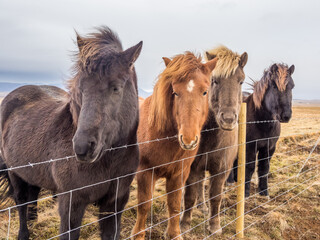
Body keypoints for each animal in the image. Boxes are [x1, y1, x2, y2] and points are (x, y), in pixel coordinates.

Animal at [0, 26, 142, 240]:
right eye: (81, 89)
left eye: (116, 88)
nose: (82, 147)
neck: (110, 160)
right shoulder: (71, 204)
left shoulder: (115, 203)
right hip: (14, 172)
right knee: (21, 201)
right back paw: (24, 233)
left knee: (32, 196)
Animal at [131, 52, 218, 240]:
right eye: (175, 92)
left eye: (205, 92)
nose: (189, 140)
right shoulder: (145, 172)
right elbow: (144, 204)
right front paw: (138, 234)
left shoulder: (180, 173)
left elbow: (175, 204)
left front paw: (174, 234)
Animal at [180, 46, 248, 235]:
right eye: (214, 81)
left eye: (241, 81)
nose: (229, 119)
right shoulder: (192, 167)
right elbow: (189, 196)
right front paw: (184, 224)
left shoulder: (222, 170)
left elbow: (216, 196)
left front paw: (215, 226)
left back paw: (203, 207)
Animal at [228, 62, 296, 197]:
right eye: (274, 86)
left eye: (292, 86)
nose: (286, 116)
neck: (262, 122)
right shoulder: (250, 147)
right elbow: (249, 167)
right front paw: (245, 192)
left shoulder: (269, 147)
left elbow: (264, 168)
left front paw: (264, 191)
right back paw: (230, 180)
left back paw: (235, 179)